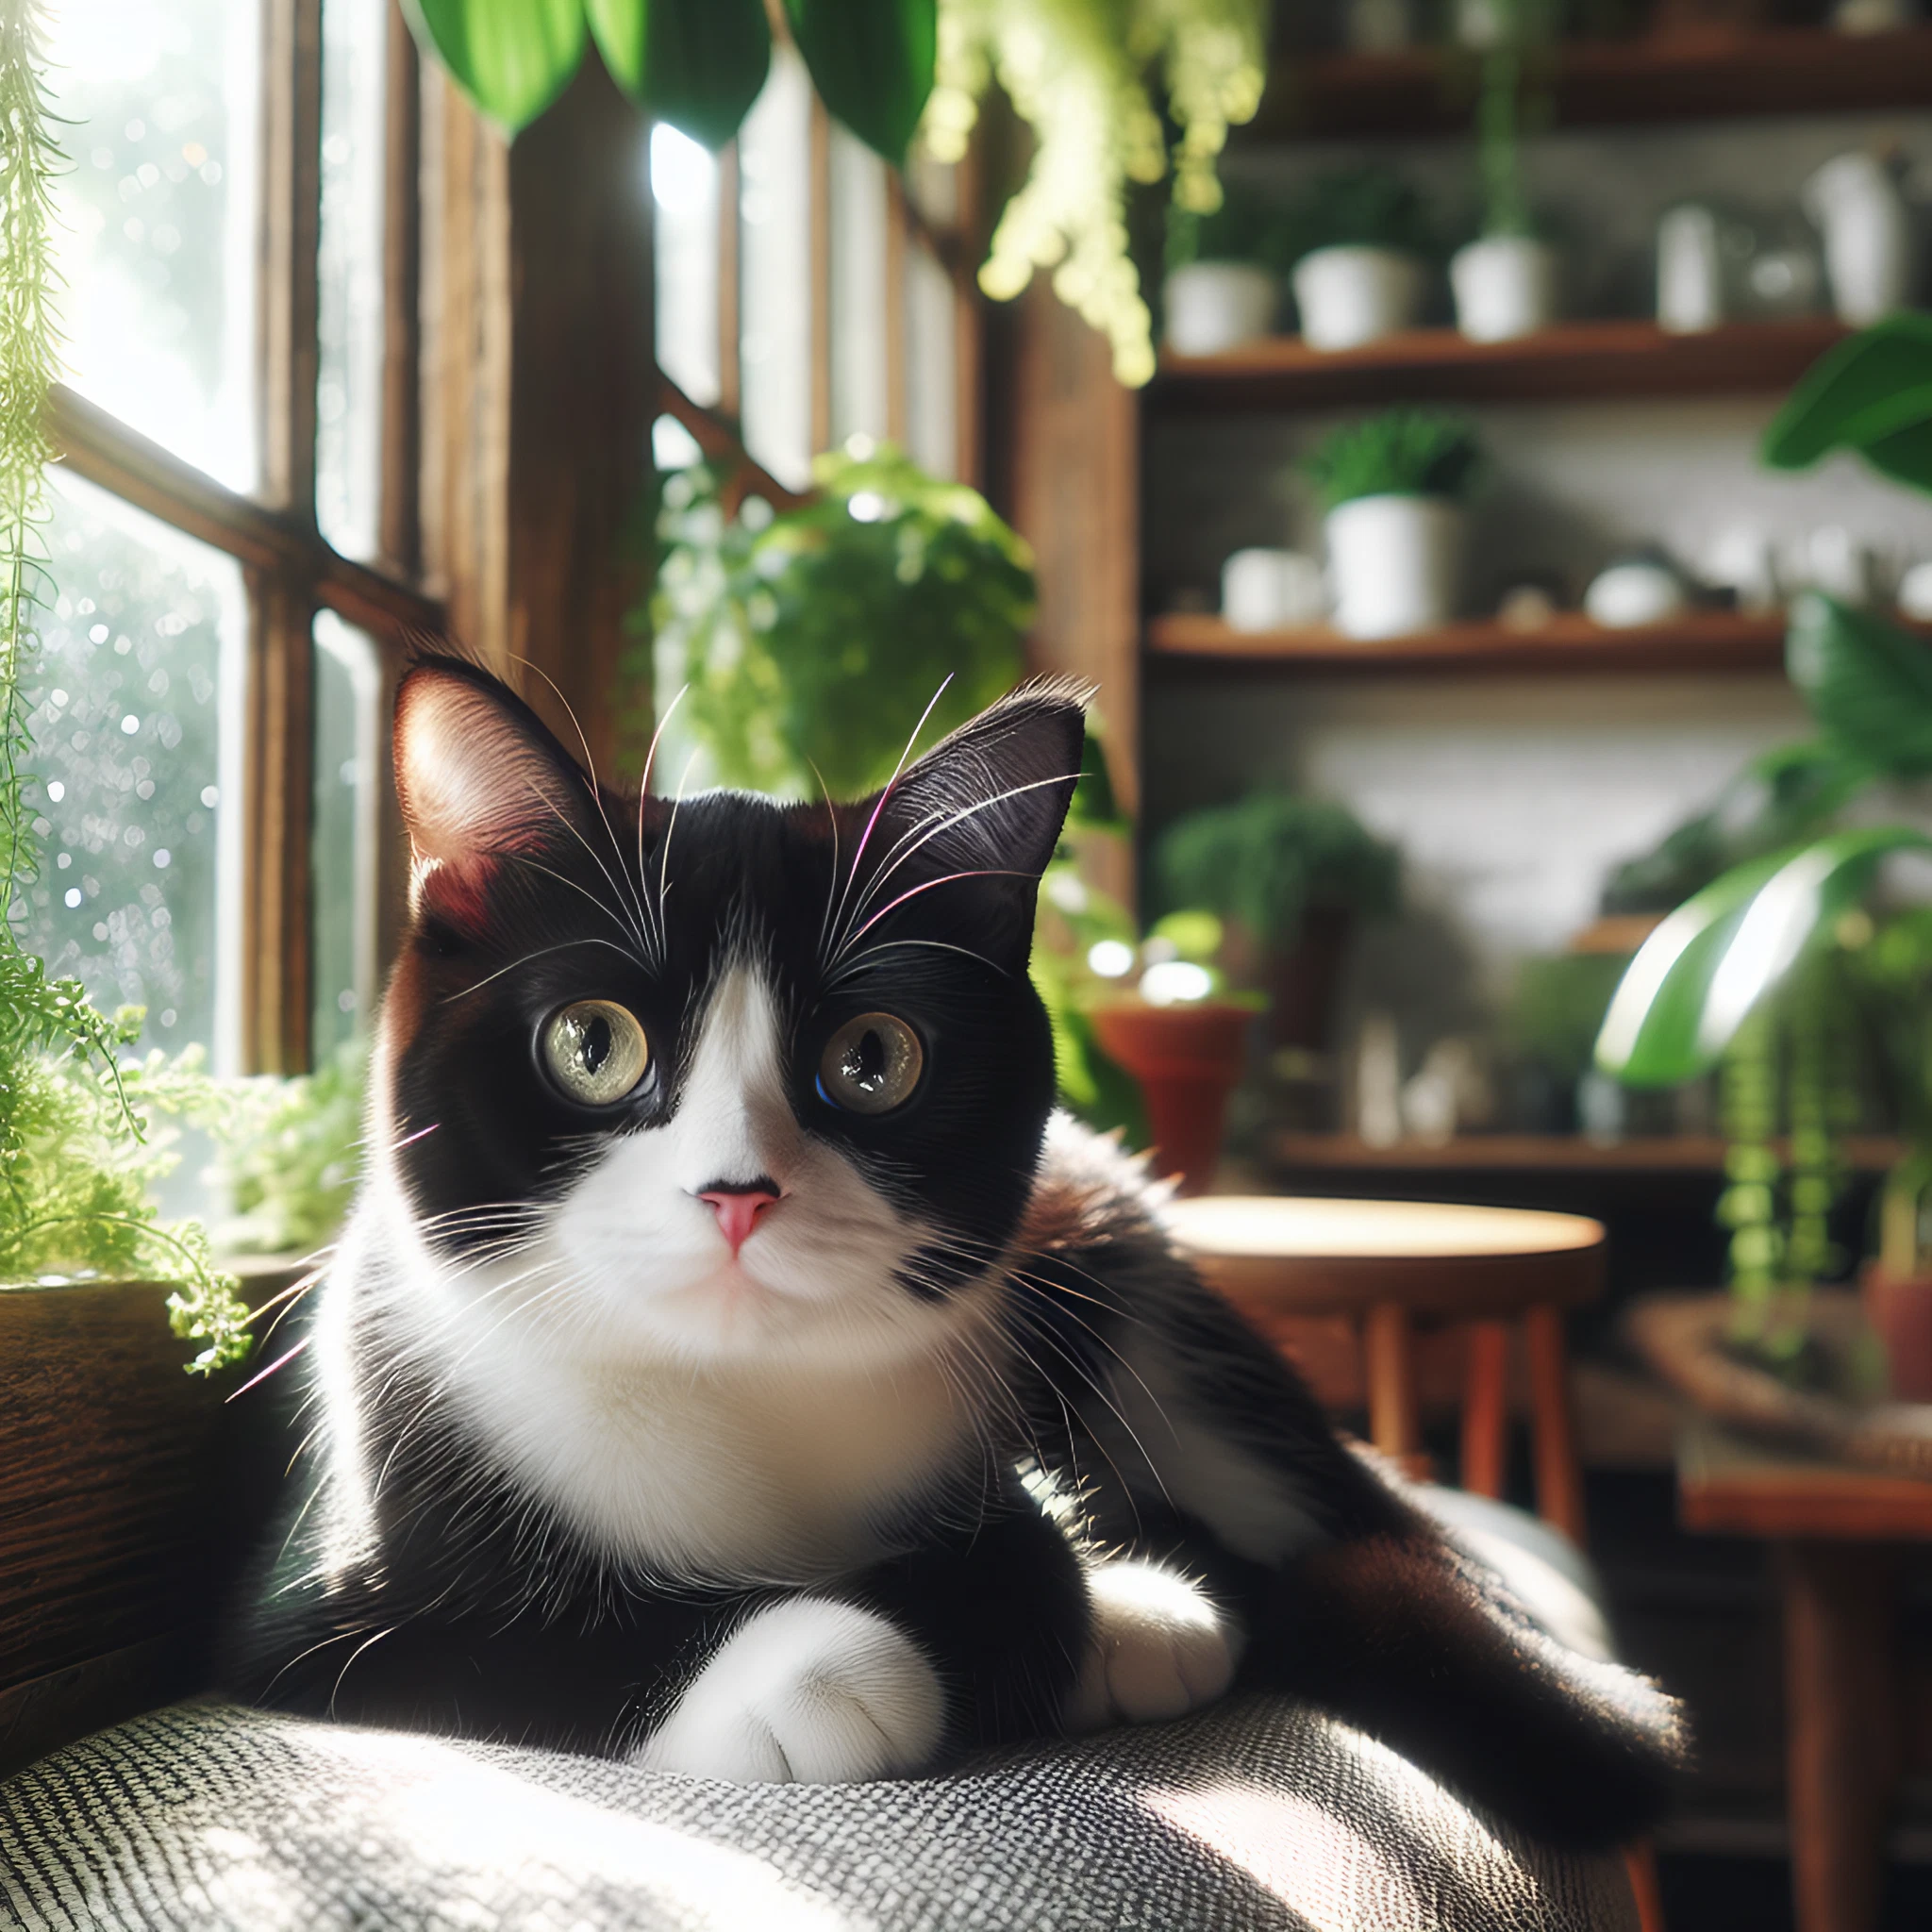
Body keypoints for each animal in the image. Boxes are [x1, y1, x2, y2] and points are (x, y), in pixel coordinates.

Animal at [222, 660, 1676, 1839]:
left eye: (873, 1059)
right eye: (593, 1043)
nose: (737, 1193)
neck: (740, 1397)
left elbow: (1015, 1556)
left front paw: (1047, 1588)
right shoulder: (297, 1606)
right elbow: (495, 1647)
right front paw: (812, 1666)